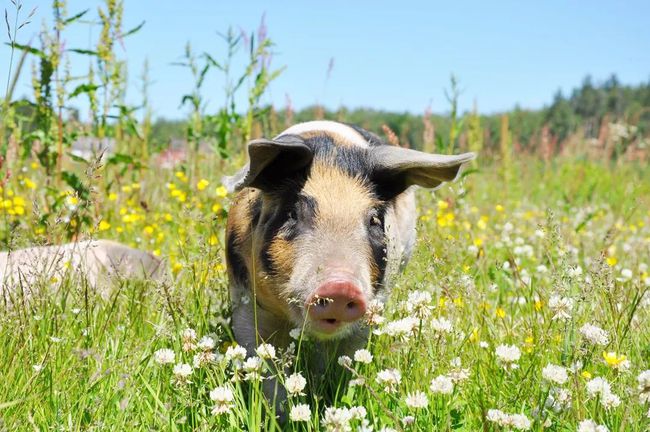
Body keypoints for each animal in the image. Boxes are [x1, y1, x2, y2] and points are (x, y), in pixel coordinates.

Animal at [221, 120, 470, 408]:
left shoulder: (370, 308)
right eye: (292, 213)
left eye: (374, 220)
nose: (340, 286)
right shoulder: (244, 300)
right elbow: (265, 367)